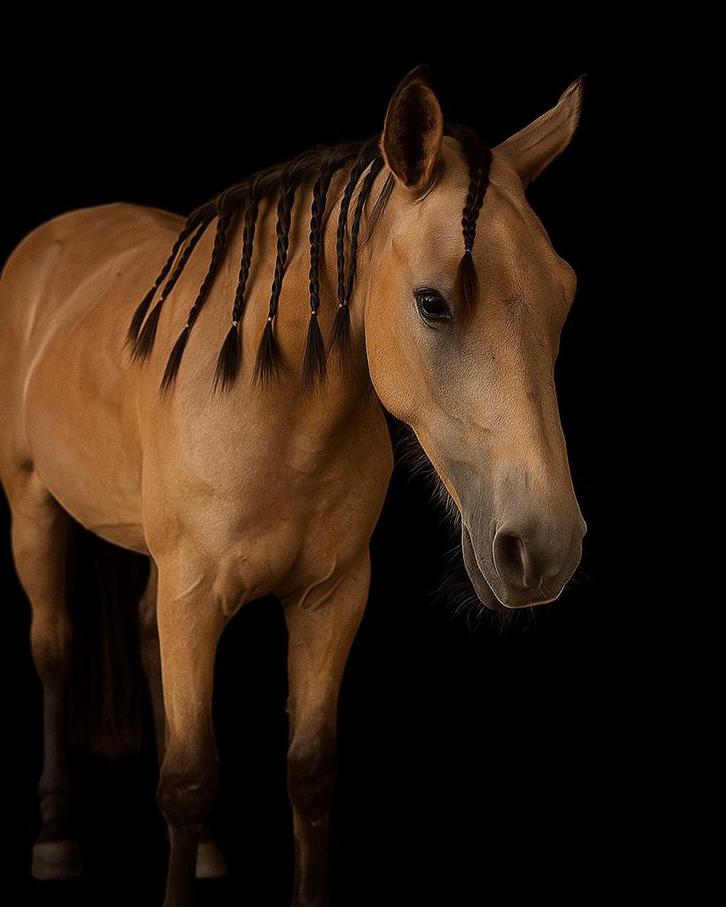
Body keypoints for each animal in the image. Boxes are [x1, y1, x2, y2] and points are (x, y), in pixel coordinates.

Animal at [0, 67, 587, 906]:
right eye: (433, 301)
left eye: (564, 295)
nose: (546, 545)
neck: (274, 412)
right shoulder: (193, 595)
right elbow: (187, 779)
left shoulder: (330, 595)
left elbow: (308, 775)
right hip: (31, 506)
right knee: (52, 647)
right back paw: (54, 838)